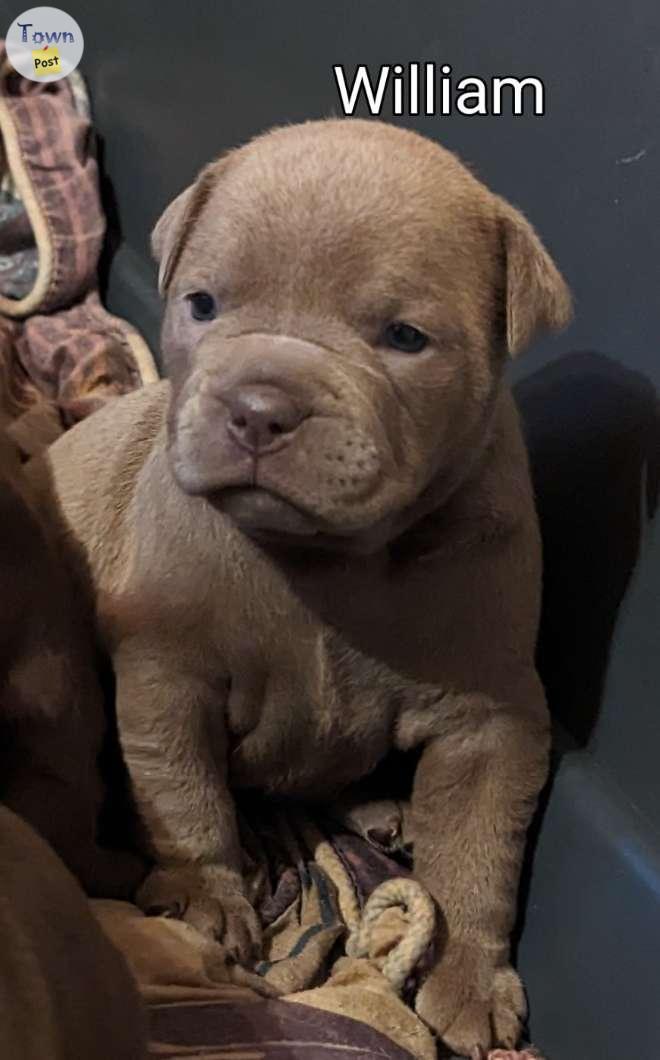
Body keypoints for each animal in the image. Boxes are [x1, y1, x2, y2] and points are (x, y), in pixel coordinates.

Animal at [37, 120, 572, 1055]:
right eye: (203, 305)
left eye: (404, 337)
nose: (259, 408)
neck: (324, 559)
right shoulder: (168, 674)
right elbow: (185, 791)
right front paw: (205, 900)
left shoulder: (494, 712)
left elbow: (479, 847)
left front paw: (470, 979)